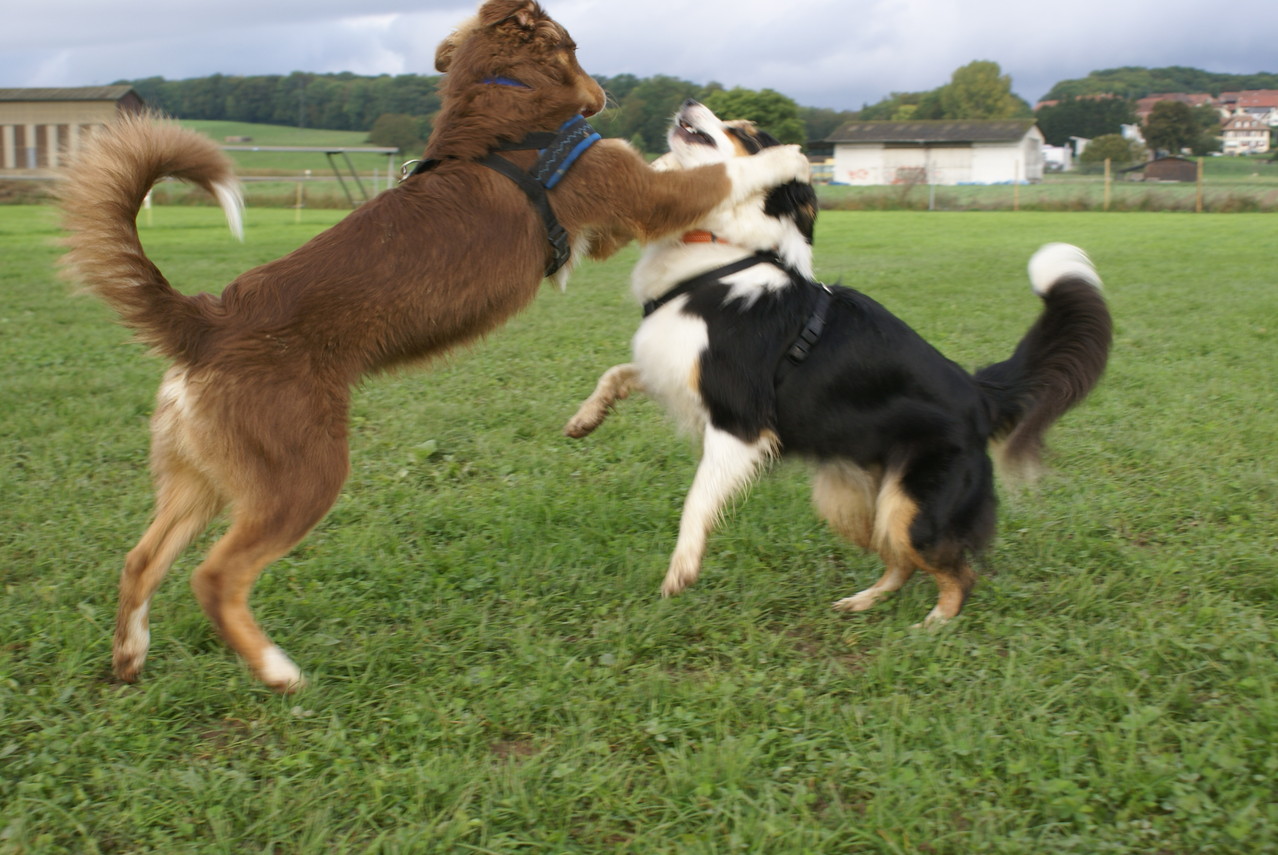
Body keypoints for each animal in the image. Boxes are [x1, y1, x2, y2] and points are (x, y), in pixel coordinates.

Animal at [60, 0, 802, 685]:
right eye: (579, 47)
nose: (607, 94)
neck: (502, 101)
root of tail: (205, 322)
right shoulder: (636, 194)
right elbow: (712, 176)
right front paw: (782, 154)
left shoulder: (608, 228)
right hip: (302, 475)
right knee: (214, 578)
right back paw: (277, 671)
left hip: (200, 480)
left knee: (140, 560)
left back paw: (130, 656)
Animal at [564, 100, 1114, 623]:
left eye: (743, 132)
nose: (689, 102)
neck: (723, 254)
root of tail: (980, 395)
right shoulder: (675, 368)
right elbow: (616, 373)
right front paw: (585, 419)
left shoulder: (741, 422)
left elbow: (696, 498)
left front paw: (682, 569)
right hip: (853, 498)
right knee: (901, 562)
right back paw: (862, 602)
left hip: (912, 507)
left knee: (956, 571)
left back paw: (934, 624)